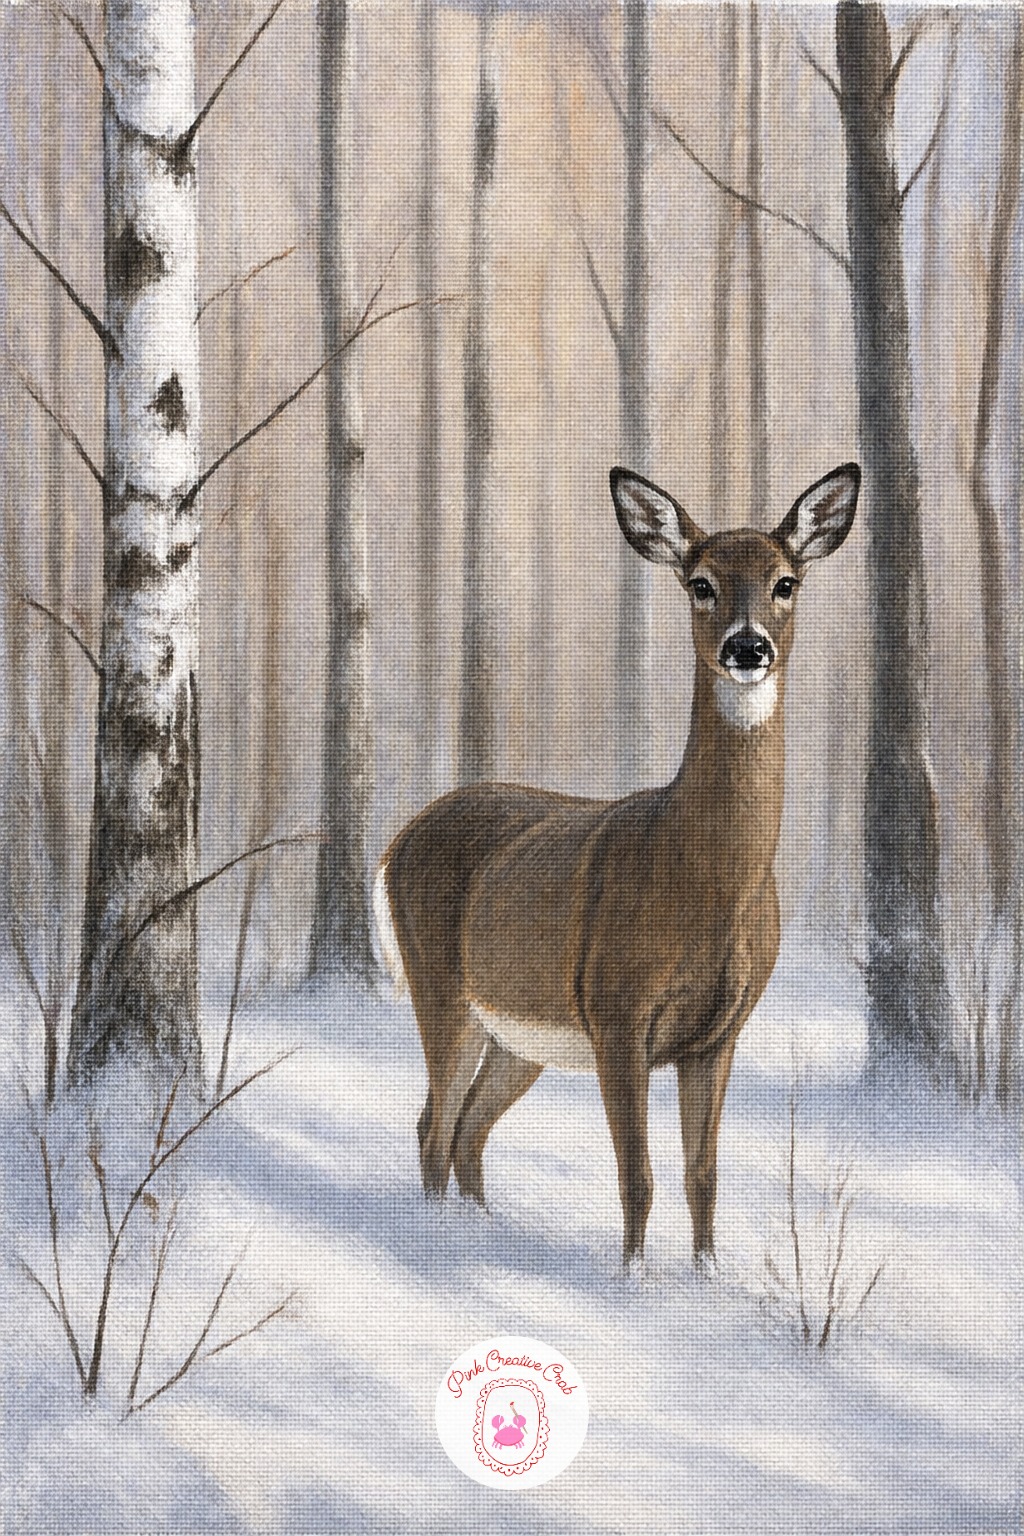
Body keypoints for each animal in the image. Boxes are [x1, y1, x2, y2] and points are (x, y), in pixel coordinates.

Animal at [376, 462, 860, 1267]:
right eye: (700, 582)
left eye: (786, 581)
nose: (748, 646)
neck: (708, 878)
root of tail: (394, 842)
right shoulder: (617, 1009)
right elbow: (638, 1175)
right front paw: (633, 1278)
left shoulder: (718, 1033)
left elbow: (703, 1177)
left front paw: (705, 1277)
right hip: (441, 983)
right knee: (433, 1125)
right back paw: (435, 1237)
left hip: (519, 1033)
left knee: (466, 1128)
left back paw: (477, 1230)